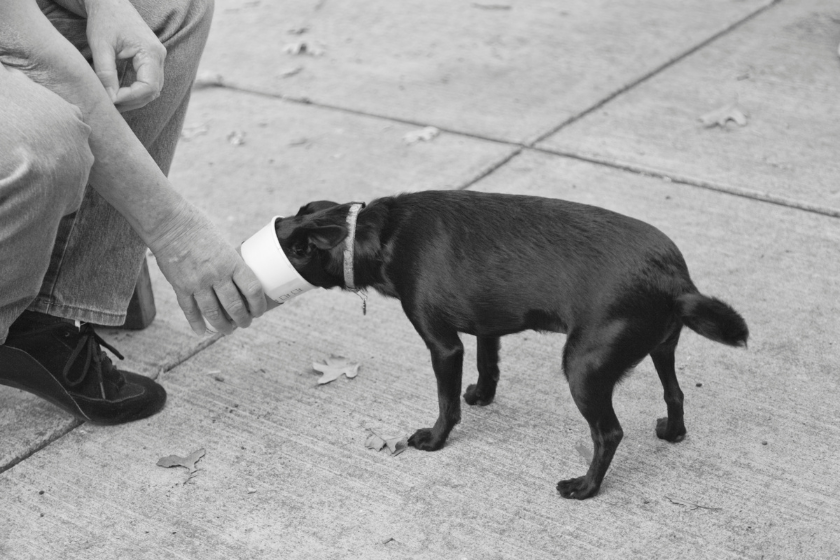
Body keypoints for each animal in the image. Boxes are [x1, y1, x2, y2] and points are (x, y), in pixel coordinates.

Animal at [272, 189, 744, 498]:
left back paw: (585, 487)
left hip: (582, 369)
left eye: (295, 248)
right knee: (675, 393)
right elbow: (488, 363)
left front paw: (434, 440)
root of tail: (674, 280)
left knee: (609, 433)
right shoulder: (487, 326)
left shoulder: (444, 346)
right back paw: (673, 434)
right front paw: (482, 395)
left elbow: (446, 403)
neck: (377, 234)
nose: (274, 224)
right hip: (661, 347)